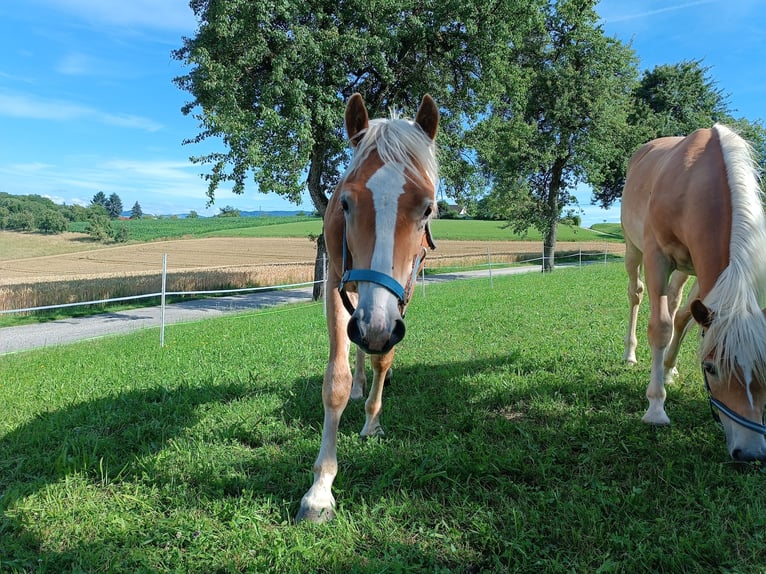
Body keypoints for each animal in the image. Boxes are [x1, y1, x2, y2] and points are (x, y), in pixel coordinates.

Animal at [298, 93, 440, 520]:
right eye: (346, 203)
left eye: (427, 208)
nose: (375, 328)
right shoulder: (336, 282)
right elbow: (336, 381)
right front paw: (320, 489)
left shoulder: (401, 296)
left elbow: (383, 358)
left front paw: (373, 423)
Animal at [624, 124, 766, 462]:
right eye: (710, 368)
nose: (751, 452)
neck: (694, 186)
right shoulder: (657, 257)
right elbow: (660, 327)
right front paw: (655, 408)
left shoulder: (703, 275)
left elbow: (684, 319)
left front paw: (668, 370)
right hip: (633, 250)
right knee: (636, 295)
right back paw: (630, 354)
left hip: (684, 271)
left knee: (677, 307)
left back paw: (668, 368)